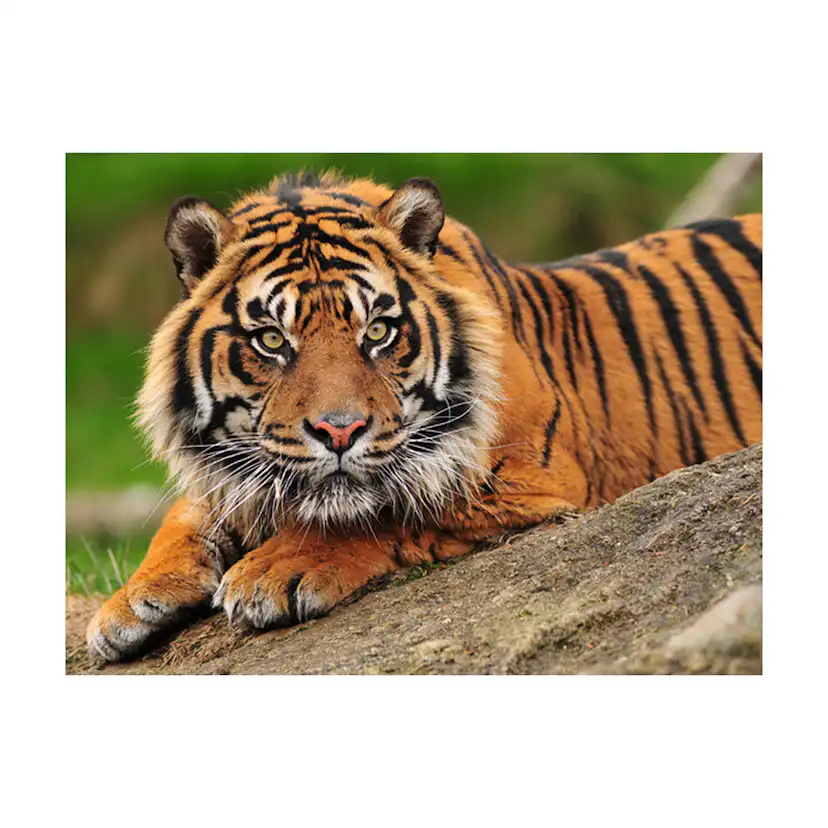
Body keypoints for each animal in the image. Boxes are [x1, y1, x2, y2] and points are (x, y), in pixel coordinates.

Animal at [86, 170, 762, 662]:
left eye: (378, 332)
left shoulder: (531, 480)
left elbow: (382, 509)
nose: (339, 431)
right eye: (272, 340)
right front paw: (129, 604)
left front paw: (273, 571)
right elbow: (188, 513)